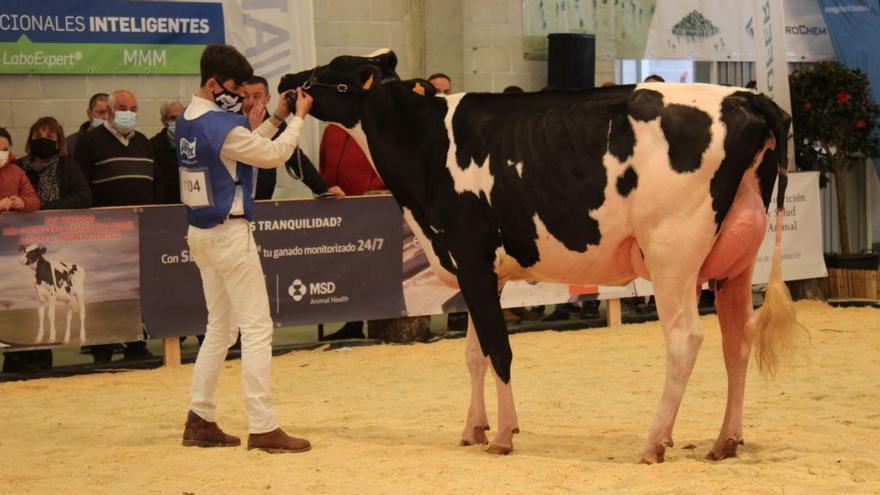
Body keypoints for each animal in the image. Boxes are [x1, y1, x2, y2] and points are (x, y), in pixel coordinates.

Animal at [279, 50, 805, 463]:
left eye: (332, 67)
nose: (286, 80)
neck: (425, 145)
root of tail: (745, 97)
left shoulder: (469, 256)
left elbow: (499, 349)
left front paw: (503, 435)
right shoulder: (485, 272)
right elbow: (473, 354)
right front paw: (474, 428)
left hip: (672, 255)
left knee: (685, 340)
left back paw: (654, 442)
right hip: (735, 262)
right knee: (737, 340)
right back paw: (725, 441)